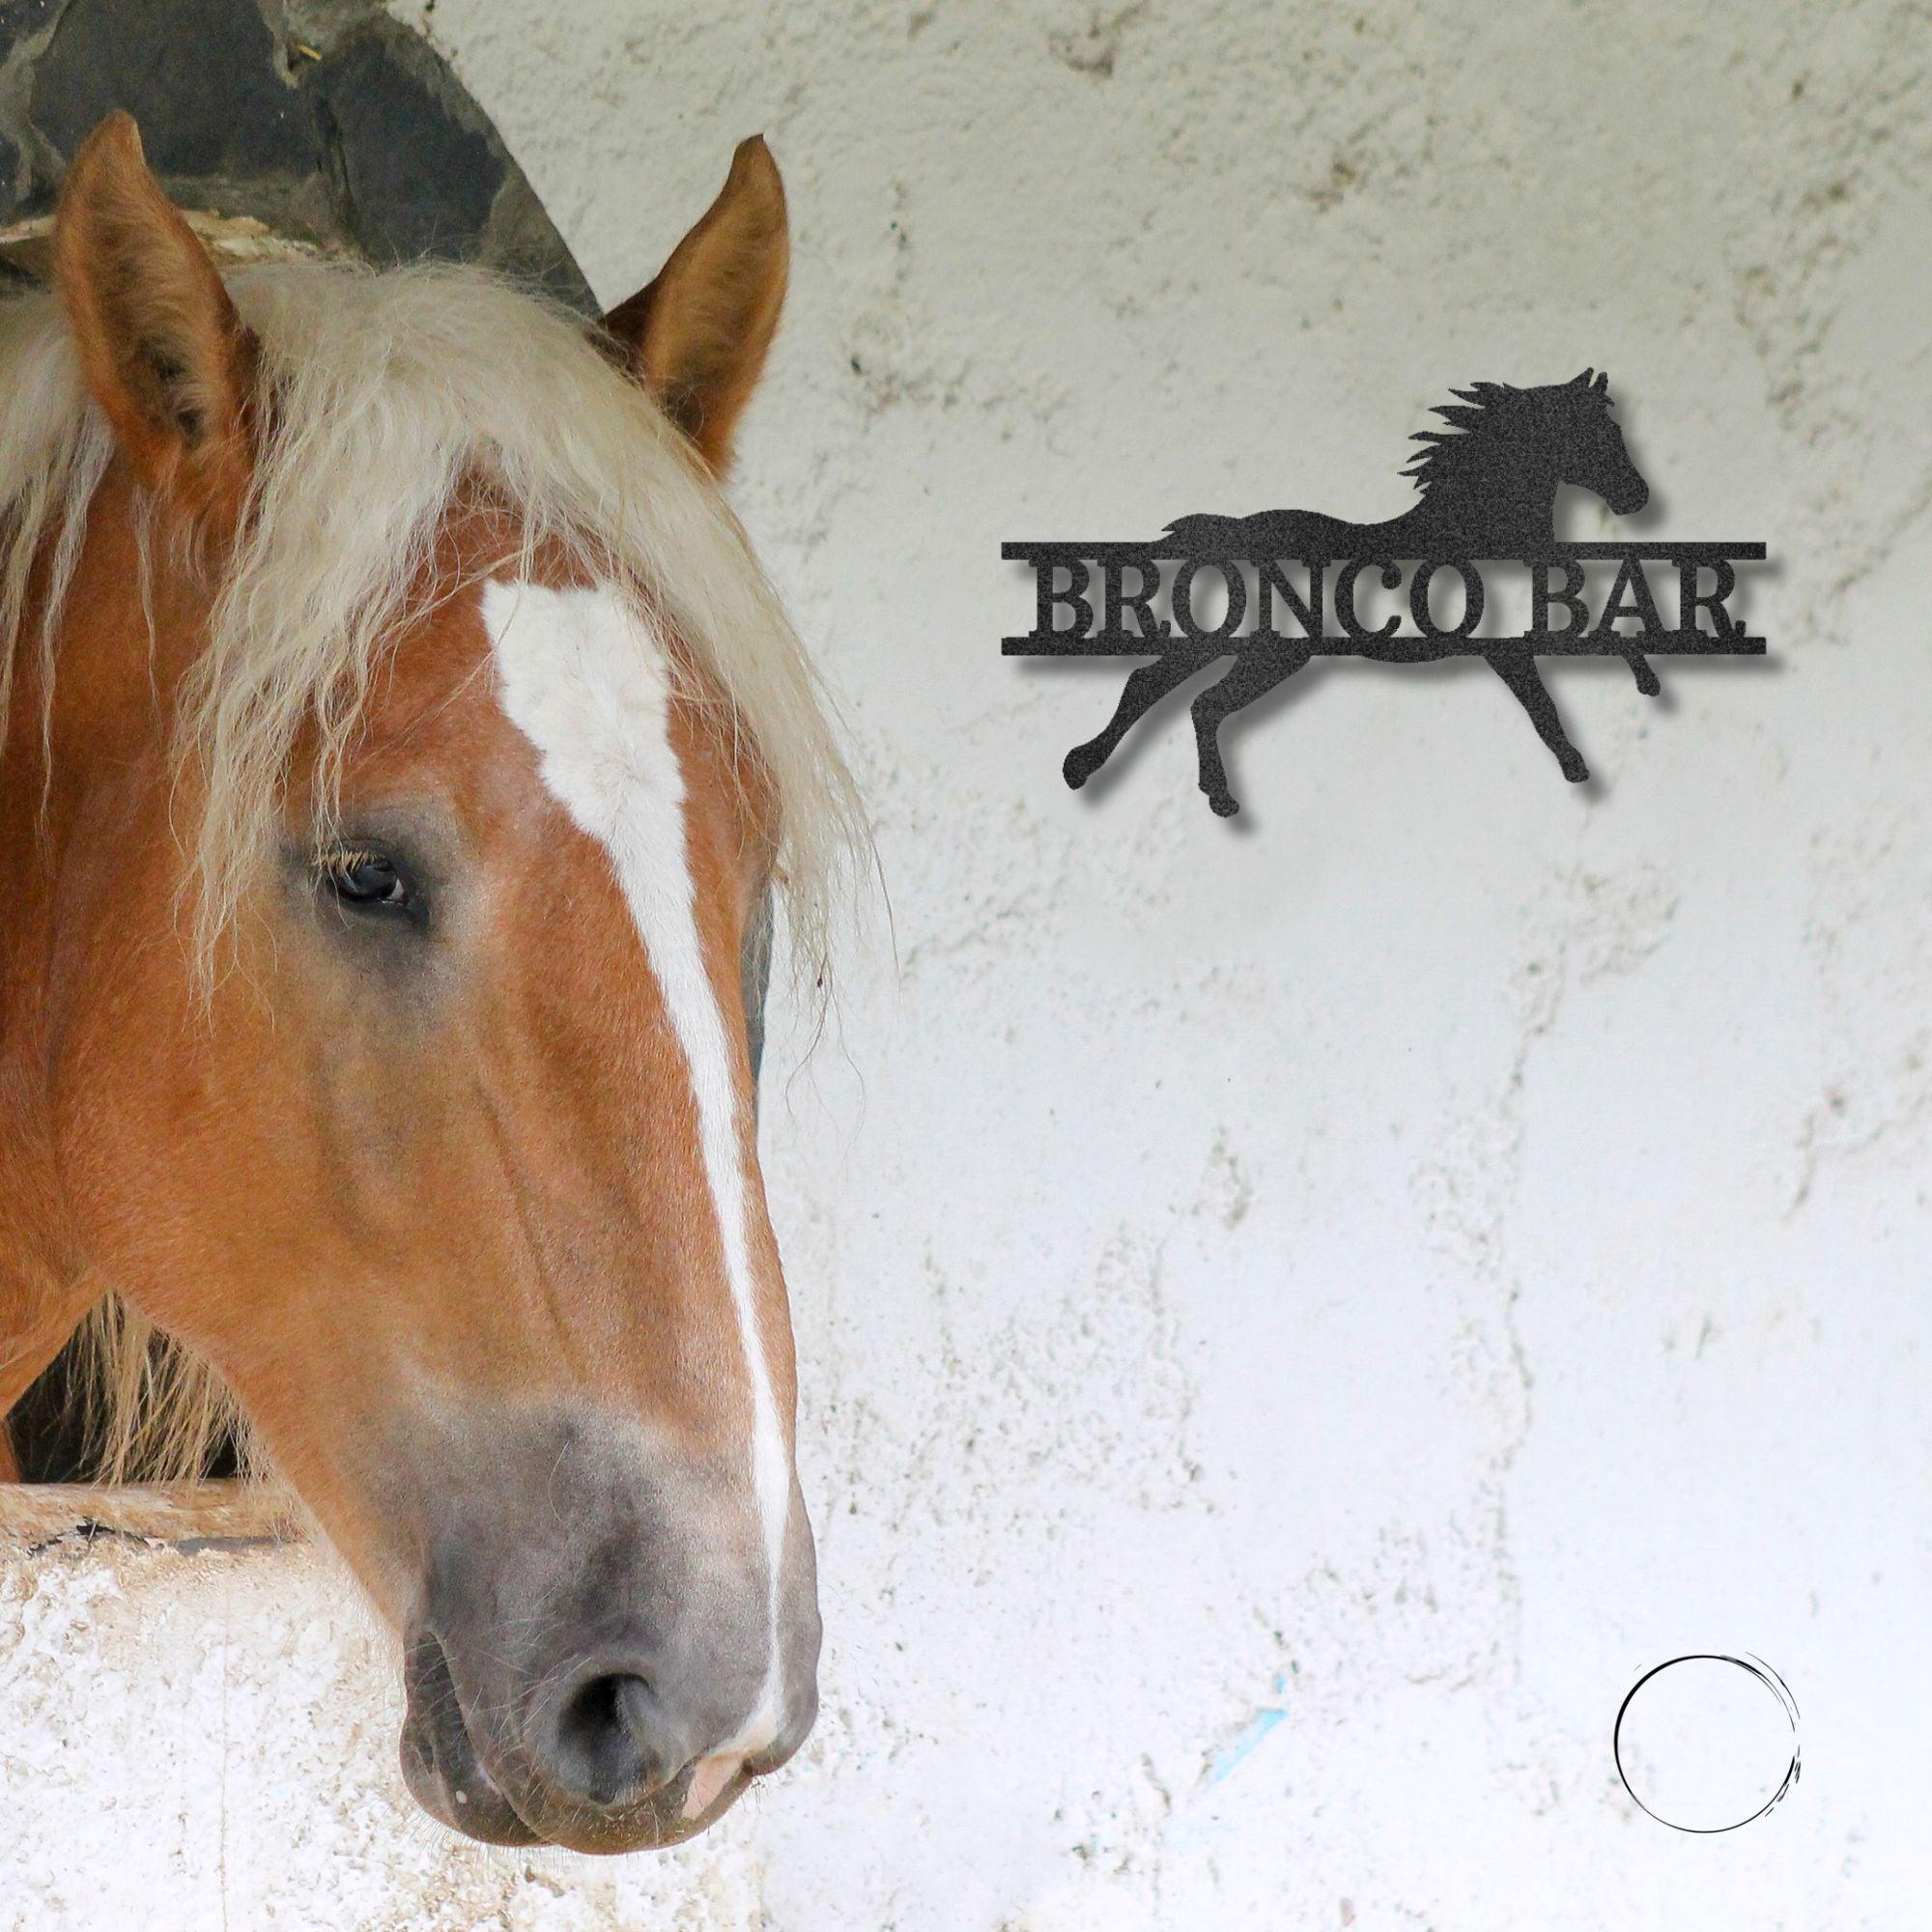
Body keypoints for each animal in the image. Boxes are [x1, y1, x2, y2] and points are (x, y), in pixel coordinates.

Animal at [1061, 370, 1651, 814]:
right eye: (1596, 432)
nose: (1637, 498)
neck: (1478, 525)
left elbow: (1606, 630)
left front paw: (1648, 687)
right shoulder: (1505, 646)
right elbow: (1544, 705)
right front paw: (1577, 768)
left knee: (1151, 685)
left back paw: (1083, 769)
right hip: (1271, 654)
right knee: (1199, 703)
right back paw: (1215, 799)